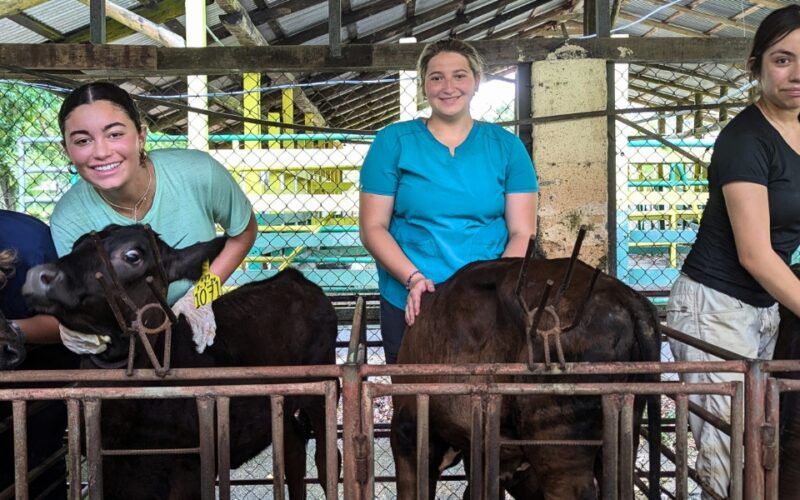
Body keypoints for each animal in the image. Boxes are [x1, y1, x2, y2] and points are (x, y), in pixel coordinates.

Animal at [18, 227, 338, 500]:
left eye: (132, 255)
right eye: (76, 245)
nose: (36, 276)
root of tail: (293, 277)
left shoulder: (188, 471)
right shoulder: (109, 472)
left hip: (320, 389)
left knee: (325, 457)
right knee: (293, 450)